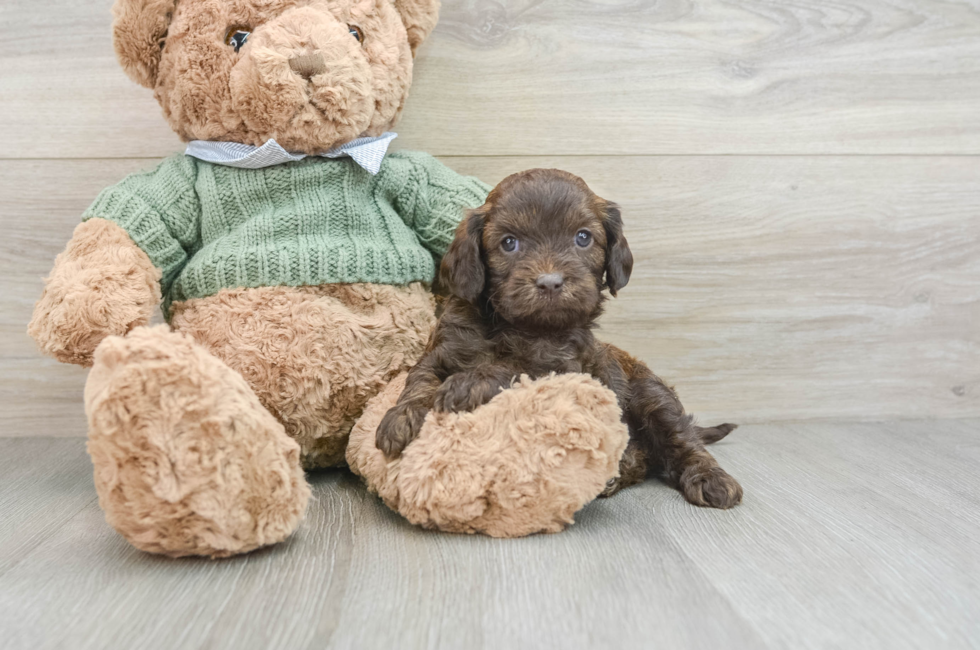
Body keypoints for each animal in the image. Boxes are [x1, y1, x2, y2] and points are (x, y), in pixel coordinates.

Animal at [376, 167, 744, 506]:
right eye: (509, 243)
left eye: (583, 238)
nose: (550, 282)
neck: (517, 325)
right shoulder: (441, 351)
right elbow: (420, 381)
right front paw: (401, 418)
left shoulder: (563, 367)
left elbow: (515, 367)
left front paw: (468, 383)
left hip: (651, 393)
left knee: (682, 437)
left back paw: (710, 479)